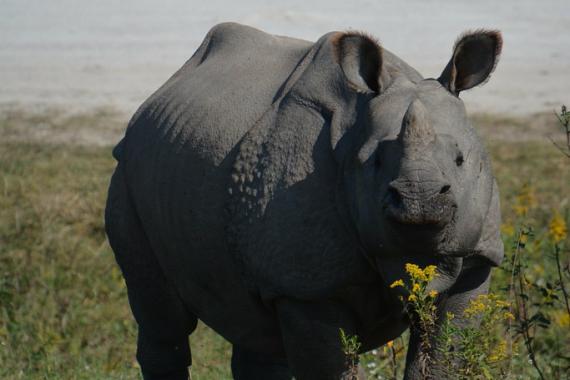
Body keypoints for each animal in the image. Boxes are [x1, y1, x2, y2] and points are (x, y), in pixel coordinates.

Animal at [105, 22, 502, 378]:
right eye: (373, 162)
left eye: (460, 160)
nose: (420, 201)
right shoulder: (308, 287)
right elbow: (328, 365)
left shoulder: (473, 260)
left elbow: (442, 361)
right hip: (127, 173)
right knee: (164, 317)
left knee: (255, 329)